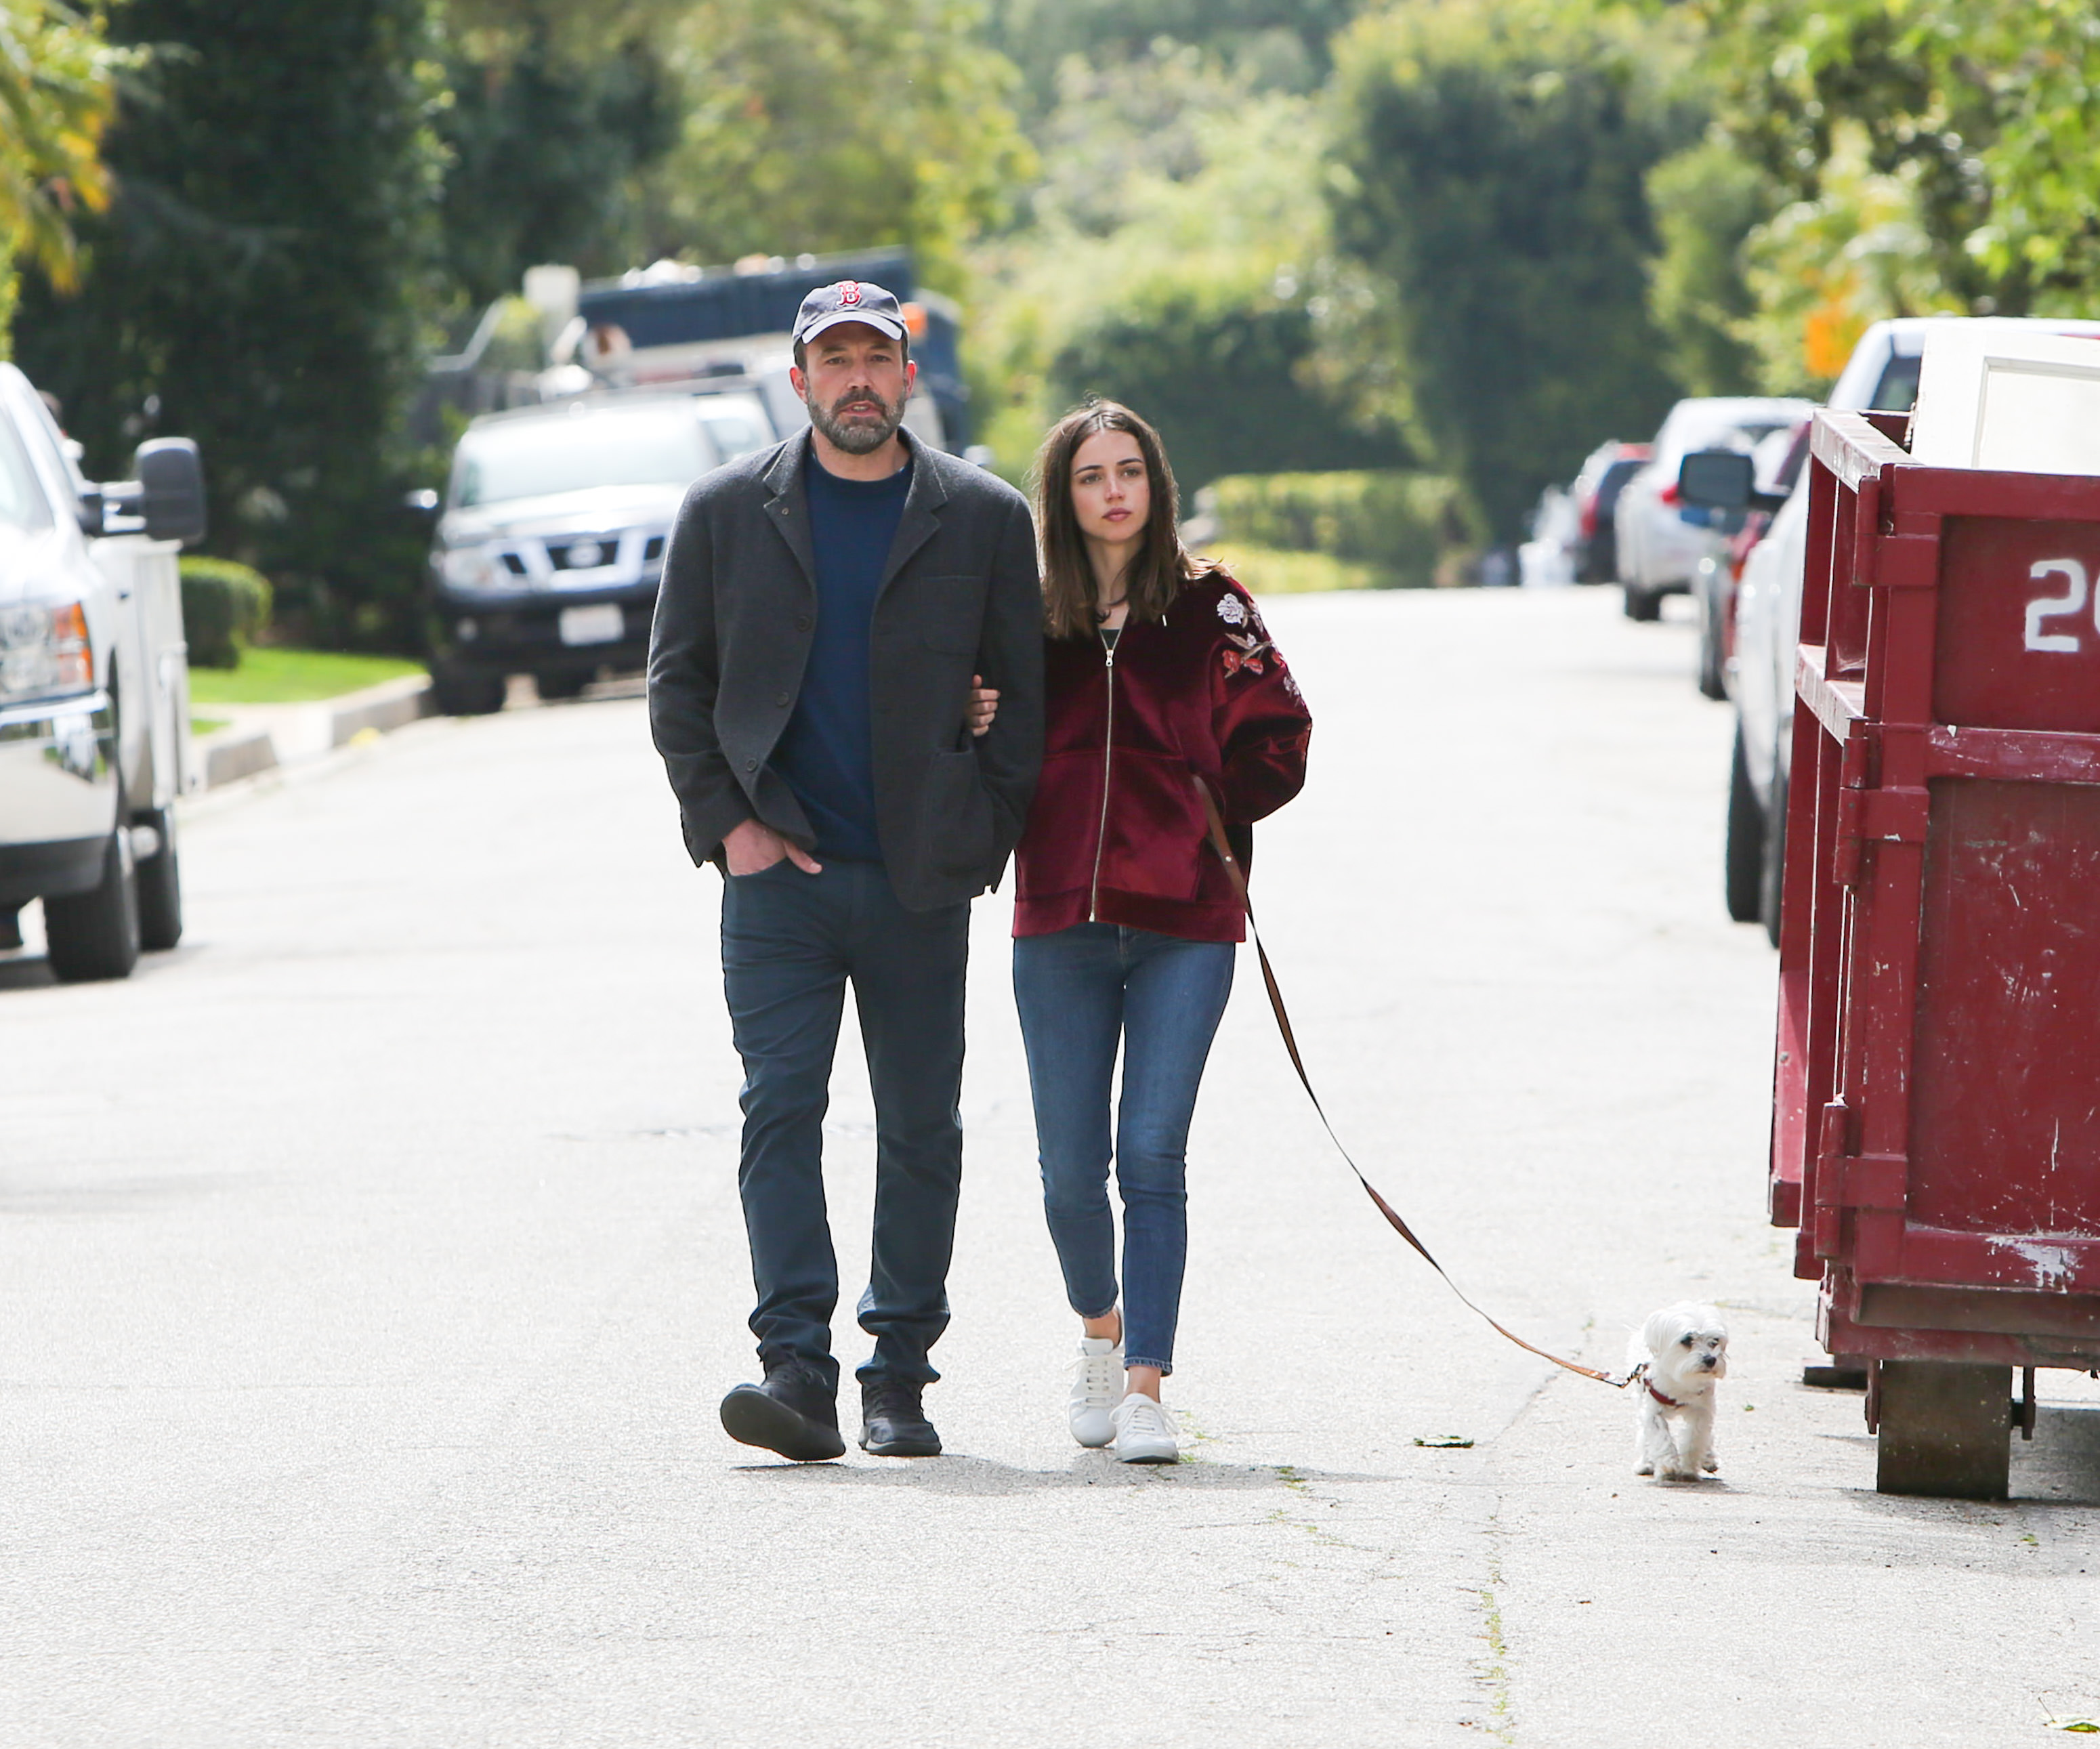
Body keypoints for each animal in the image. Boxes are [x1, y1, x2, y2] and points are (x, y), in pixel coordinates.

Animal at [1629, 1293, 1730, 1478]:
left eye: (1715, 1341)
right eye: (1687, 1340)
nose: (1710, 1359)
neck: (1680, 1380)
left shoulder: (1702, 1410)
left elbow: (1695, 1437)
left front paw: (1689, 1465)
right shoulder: (1652, 1410)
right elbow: (1658, 1435)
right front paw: (1668, 1463)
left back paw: (1708, 1458)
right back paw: (1646, 1463)